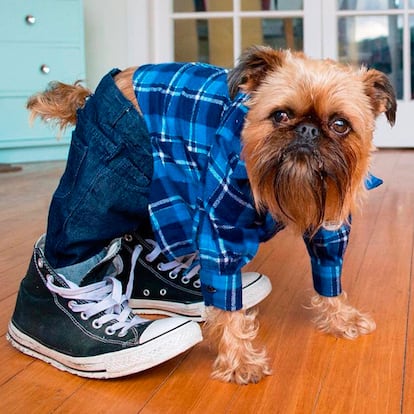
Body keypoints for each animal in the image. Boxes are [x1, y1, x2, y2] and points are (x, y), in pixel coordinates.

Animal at [27, 47, 396, 386]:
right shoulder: (222, 230)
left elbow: (329, 271)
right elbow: (227, 301)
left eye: (340, 125)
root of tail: (98, 90)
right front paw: (240, 359)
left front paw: (340, 317)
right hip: (114, 169)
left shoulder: (330, 227)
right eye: (280, 115)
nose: (306, 130)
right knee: (78, 236)